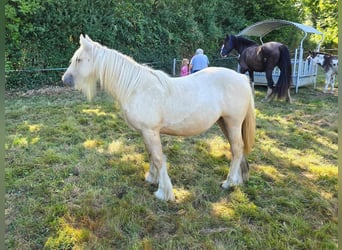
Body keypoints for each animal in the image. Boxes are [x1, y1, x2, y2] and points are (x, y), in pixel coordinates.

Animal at [61, 34, 255, 201]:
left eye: (79, 59)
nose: (65, 80)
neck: (135, 88)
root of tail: (241, 78)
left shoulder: (150, 131)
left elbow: (158, 158)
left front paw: (164, 192)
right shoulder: (145, 132)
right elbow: (151, 155)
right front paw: (151, 178)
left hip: (233, 123)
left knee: (237, 149)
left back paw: (229, 183)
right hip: (224, 123)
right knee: (237, 149)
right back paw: (237, 180)